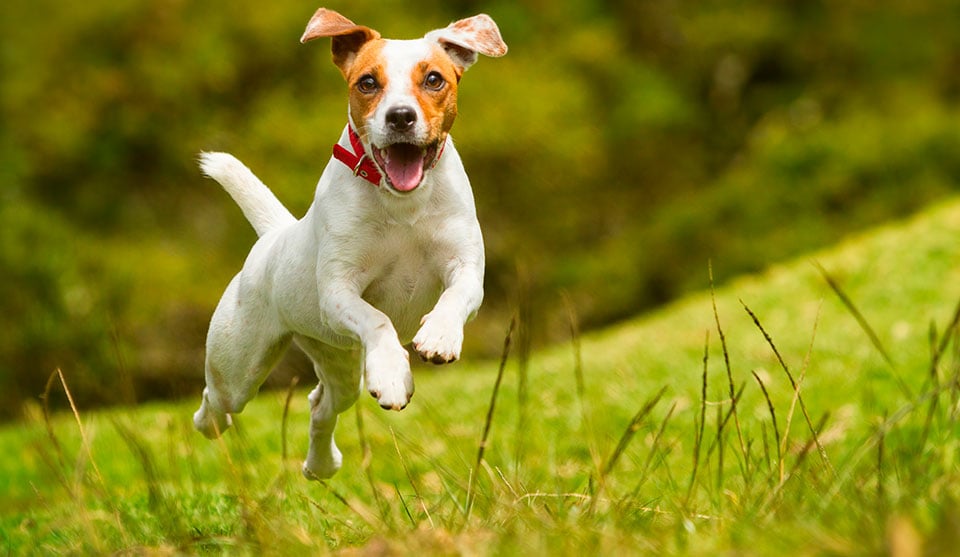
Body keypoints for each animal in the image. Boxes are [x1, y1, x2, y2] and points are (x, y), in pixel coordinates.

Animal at [193, 7, 510, 478]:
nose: (400, 116)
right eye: (367, 82)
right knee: (217, 401)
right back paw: (211, 423)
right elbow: (377, 320)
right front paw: (393, 373)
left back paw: (321, 464)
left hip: (337, 359)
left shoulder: (466, 268)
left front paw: (438, 337)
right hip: (239, 364)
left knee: (320, 404)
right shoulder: (339, 291)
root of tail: (274, 235)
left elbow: (455, 297)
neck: (402, 204)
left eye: (434, 79)